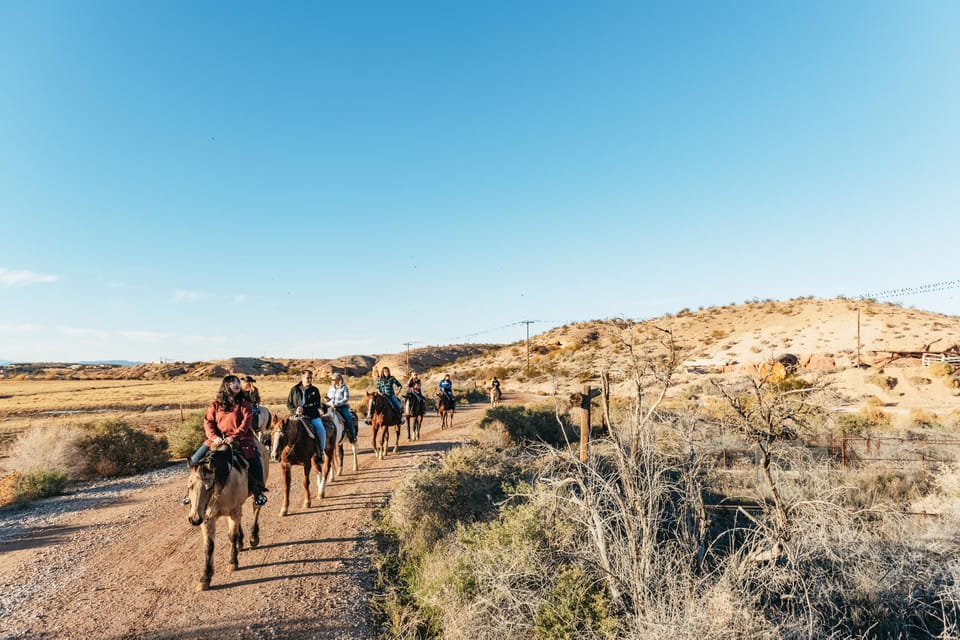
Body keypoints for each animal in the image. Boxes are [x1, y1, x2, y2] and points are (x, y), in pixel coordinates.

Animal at [185, 440, 268, 592]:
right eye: (190, 486)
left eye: (209, 487)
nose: (194, 519)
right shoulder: (207, 518)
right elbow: (209, 545)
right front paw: (205, 578)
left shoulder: (233, 511)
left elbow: (232, 536)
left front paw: (233, 562)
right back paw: (240, 543)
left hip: (255, 494)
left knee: (256, 508)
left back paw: (253, 537)